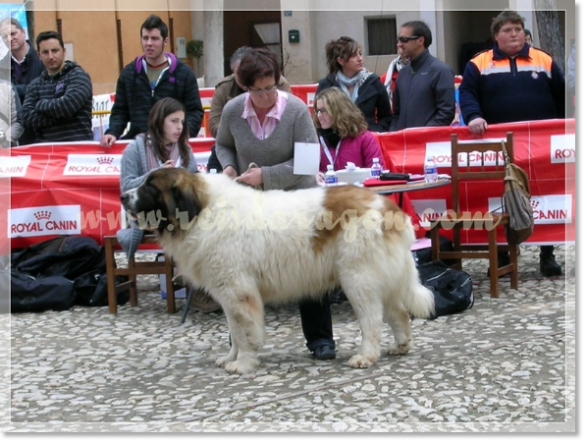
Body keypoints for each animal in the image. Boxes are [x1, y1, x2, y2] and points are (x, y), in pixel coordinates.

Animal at [121, 169, 432, 374]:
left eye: (150, 187)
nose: (123, 195)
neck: (202, 210)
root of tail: (387, 205)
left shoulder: (238, 292)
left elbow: (245, 331)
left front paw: (243, 363)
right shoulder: (228, 294)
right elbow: (234, 330)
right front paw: (231, 357)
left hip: (358, 278)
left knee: (372, 320)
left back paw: (365, 356)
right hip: (382, 277)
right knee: (399, 313)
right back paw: (401, 346)